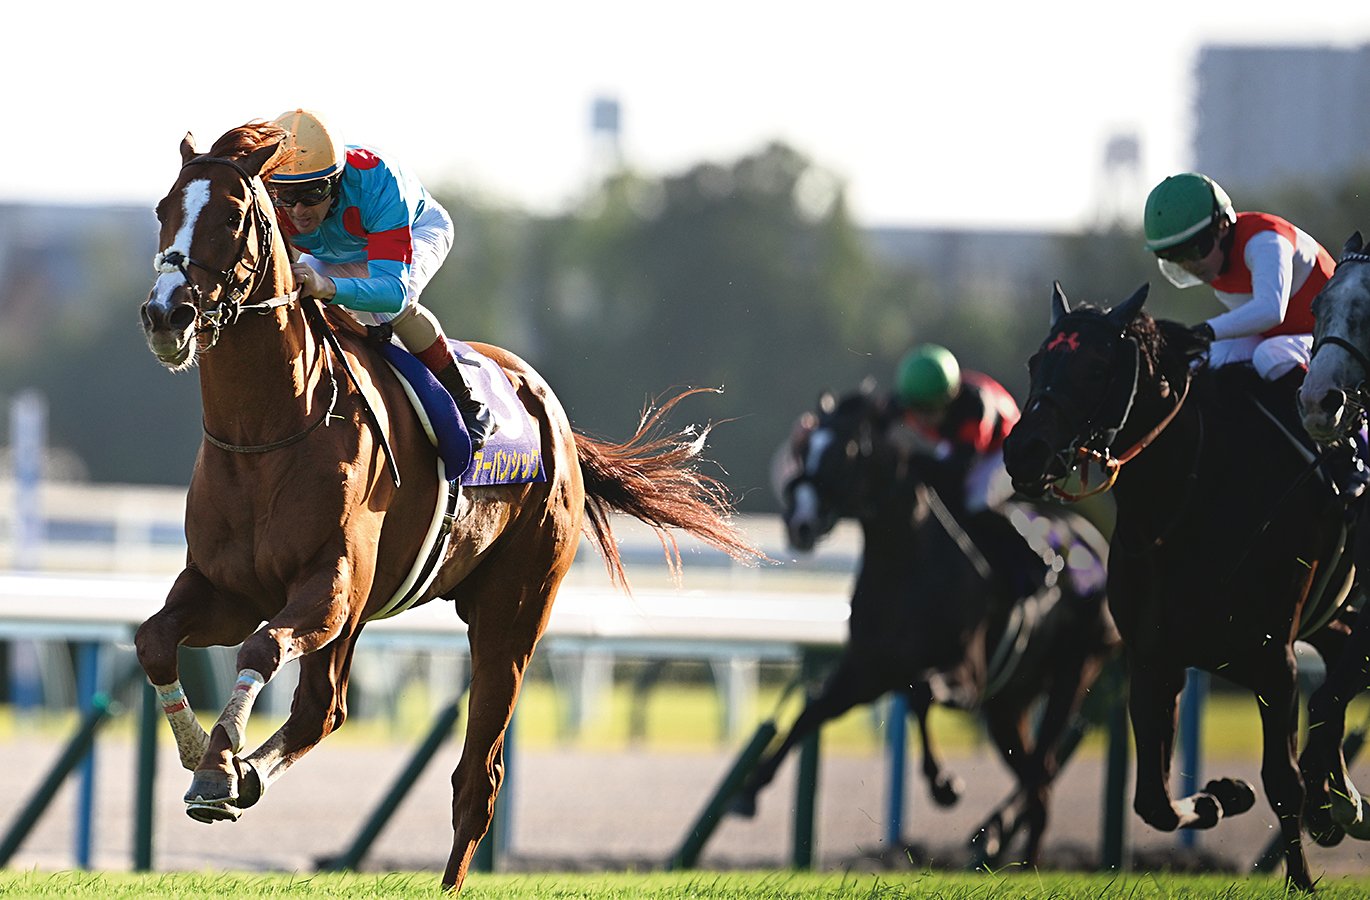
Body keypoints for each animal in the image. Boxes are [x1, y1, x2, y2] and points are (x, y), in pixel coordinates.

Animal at [133, 122, 761, 892]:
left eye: (229, 215)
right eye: (163, 209)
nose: (166, 314)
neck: (267, 429)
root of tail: (553, 415)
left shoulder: (331, 586)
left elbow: (260, 645)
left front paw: (221, 765)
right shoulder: (226, 588)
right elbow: (155, 640)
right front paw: (207, 759)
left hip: (512, 613)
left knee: (474, 775)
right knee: (323, 712)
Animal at [730, 383, 1118, 869]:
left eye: (847, 449)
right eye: (806, 448)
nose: (800, 523)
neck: (906, 566)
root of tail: (1096, 545)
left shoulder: (967, 675)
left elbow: (919, 692)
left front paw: (944, 784)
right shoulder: (867, 670)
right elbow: (812, 711)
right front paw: (748, 792)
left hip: (1074, 671)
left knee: (1041, 774)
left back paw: (1010, 850)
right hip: (1009, 703)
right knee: (1038, 781)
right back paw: (1004, 846)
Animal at [1003, 281, 1360, 891]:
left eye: (1096, 366)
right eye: (1035, 362)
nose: (1023, 451)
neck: (1188, 497)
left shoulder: (1275, 660)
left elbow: (1282, 780)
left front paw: (1303, 878)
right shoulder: (1153, 659)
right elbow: (1153, 800)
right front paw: (1223, 797)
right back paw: (1339, 801)